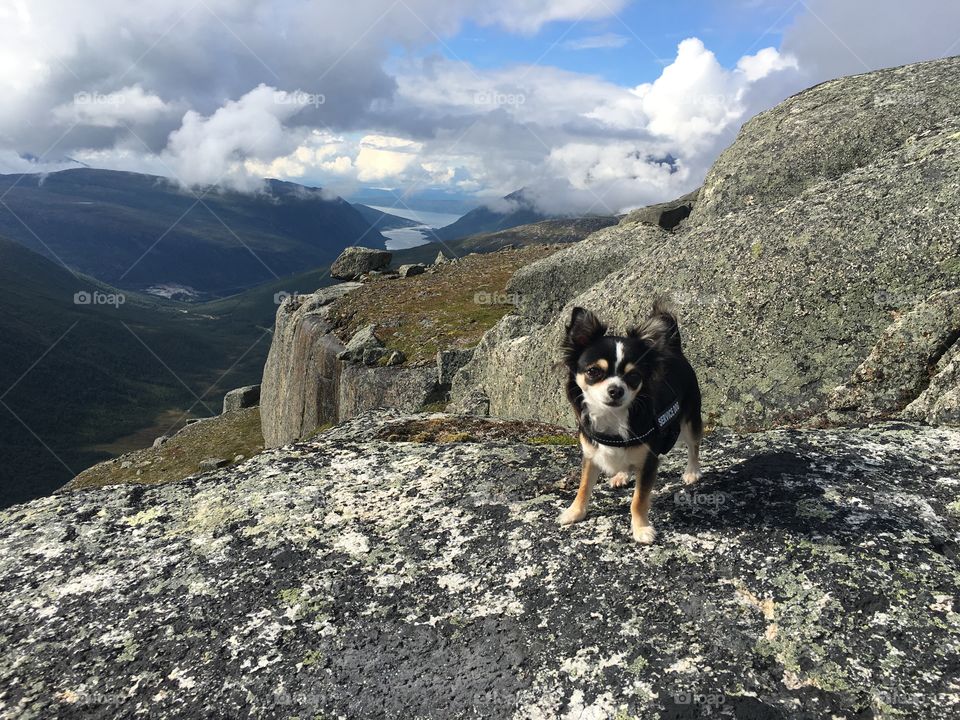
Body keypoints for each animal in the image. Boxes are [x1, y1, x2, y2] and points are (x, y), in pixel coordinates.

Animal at [556, 300, 704, 544]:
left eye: (634, 377)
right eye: (593, 371)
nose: (616, 390)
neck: (612, 418)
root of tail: (674, 349)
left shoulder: (649, 462)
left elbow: (638, 500)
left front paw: (641, 528)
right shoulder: (591, 455)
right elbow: (584, 487)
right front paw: (574, 512)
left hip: (690, 419)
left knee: (694, 446)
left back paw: (692, 471)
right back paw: (621, 475)